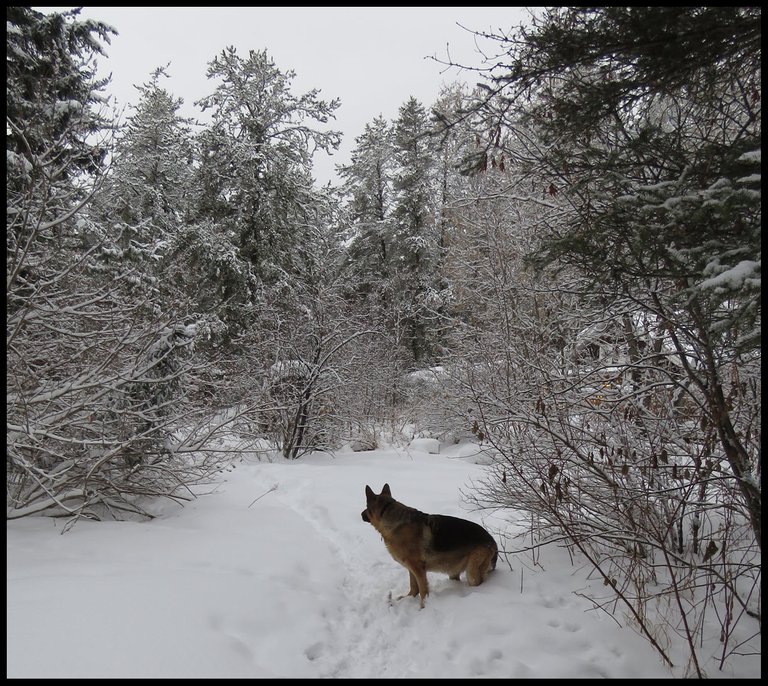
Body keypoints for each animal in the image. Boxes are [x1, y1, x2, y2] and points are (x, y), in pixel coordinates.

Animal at [362, 486, 498, 612]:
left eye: (366, 507)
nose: (361, 514)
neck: (387, 513)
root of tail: (492, 541)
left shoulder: (418, 569)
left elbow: (423, 590)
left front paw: (422, 608)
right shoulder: (411, 568)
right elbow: (413, 587)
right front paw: (408, 599)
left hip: (471, 572)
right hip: (455, 570)